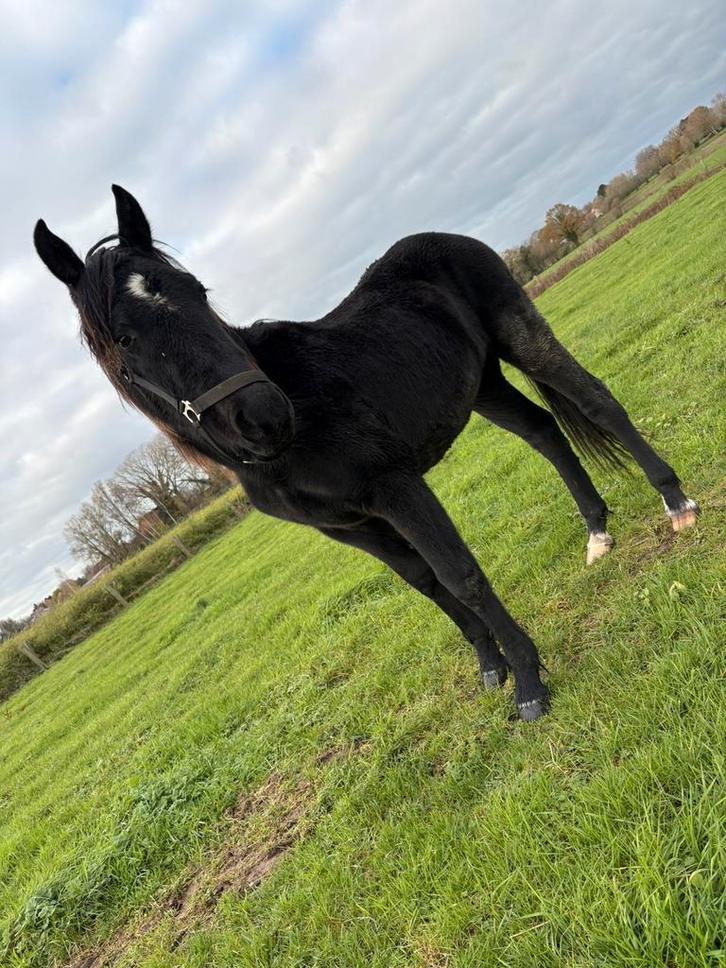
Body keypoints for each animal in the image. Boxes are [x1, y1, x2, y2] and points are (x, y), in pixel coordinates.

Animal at [33, 186, 699, 721]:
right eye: (126, 338)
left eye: (198, 293)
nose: (264, 417)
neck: (289, 445)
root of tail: (448, 239)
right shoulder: (350, 527)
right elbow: (427, 585)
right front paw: (492, 669)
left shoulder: (396, 487)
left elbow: (461, 577)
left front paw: (529, 685)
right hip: (484, 385)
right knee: (543, 432)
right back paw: (597, 534)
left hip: (521, 336)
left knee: (596, 404)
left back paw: (677, 505)